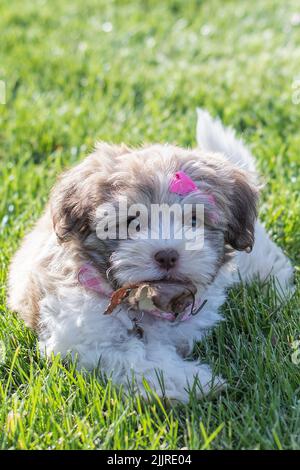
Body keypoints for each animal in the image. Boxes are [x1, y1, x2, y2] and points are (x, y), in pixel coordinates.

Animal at [7, 109, 292, 400]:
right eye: (132, 220)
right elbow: (134, 357)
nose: (166, 255)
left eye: (194, 220)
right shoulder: (80, 337)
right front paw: (194, 381)